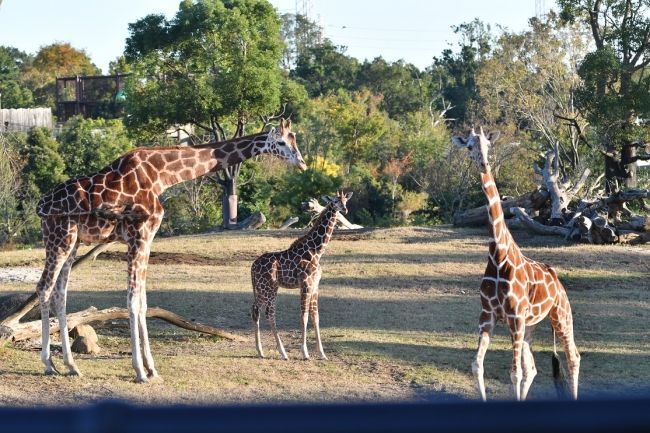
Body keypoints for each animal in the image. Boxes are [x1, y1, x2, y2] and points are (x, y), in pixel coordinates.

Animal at [36, 119, 306, 382]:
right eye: (282, 142)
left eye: (295, 140)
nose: (302, 163)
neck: (161, 175)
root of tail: (40, 206)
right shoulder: (140, 234)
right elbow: (133, 301)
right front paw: (140, 371)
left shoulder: (146, 238)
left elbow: (143, 302)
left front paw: (151, 369)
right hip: (59, 237)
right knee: (44, 288)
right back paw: (49, 364)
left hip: (73, 242)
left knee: (60, 293)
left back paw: (71, 365)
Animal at [249, 191, 350, 360]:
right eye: (335, 201)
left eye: (346, 200)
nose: (345, 209)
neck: (316, 252)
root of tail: (252, 268)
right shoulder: (306, 284)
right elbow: (304, 316)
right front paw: (305, 352)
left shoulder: (315, 286)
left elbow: (316, 317)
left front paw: (322, 353)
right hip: (270, 287)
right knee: (269, 313)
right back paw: (282, 353)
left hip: (261, 288)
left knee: (256, 309)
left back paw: (260, 351)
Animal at [450, 126, 576, 400]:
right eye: (469, 146)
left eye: (488, 145)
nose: (484, 163)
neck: (498, 256)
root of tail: (556, 279)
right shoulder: (488, 316)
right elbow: (478, 365)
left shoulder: (514, 316)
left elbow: (514, 373)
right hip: (530, 326)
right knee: (533, 368)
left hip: (561, 314)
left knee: (573, 358)